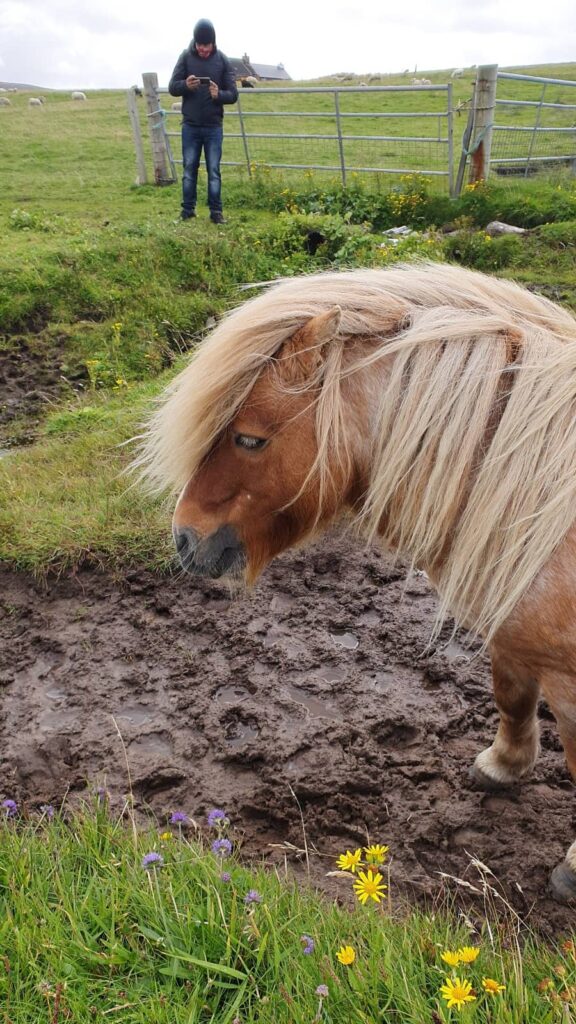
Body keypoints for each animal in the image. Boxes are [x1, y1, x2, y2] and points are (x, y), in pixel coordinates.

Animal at [139, 262, 576, 899]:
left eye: (250, 438)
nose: (184, 539)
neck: (545, 503)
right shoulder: (515, 628)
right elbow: (511, 695)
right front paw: (502, 765)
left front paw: (573, 867)